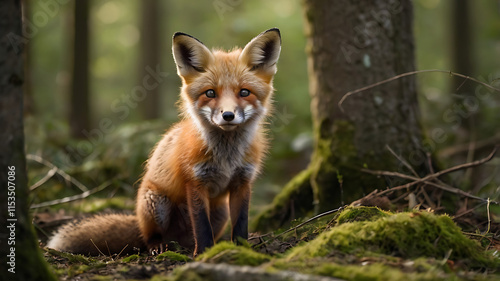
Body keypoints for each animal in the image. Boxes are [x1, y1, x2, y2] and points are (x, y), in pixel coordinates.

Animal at [47, 28, 282, 256]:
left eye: (244, 92)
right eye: (210, 93)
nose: (228, 116)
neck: (226, 157)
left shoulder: (243, 182)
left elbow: (241, 223)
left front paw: (241, 249)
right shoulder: (195, 182)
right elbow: (201, 225)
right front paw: (203, 253)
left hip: (220, 211)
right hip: (156, 202)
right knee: (149, 237)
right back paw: (159, 246)